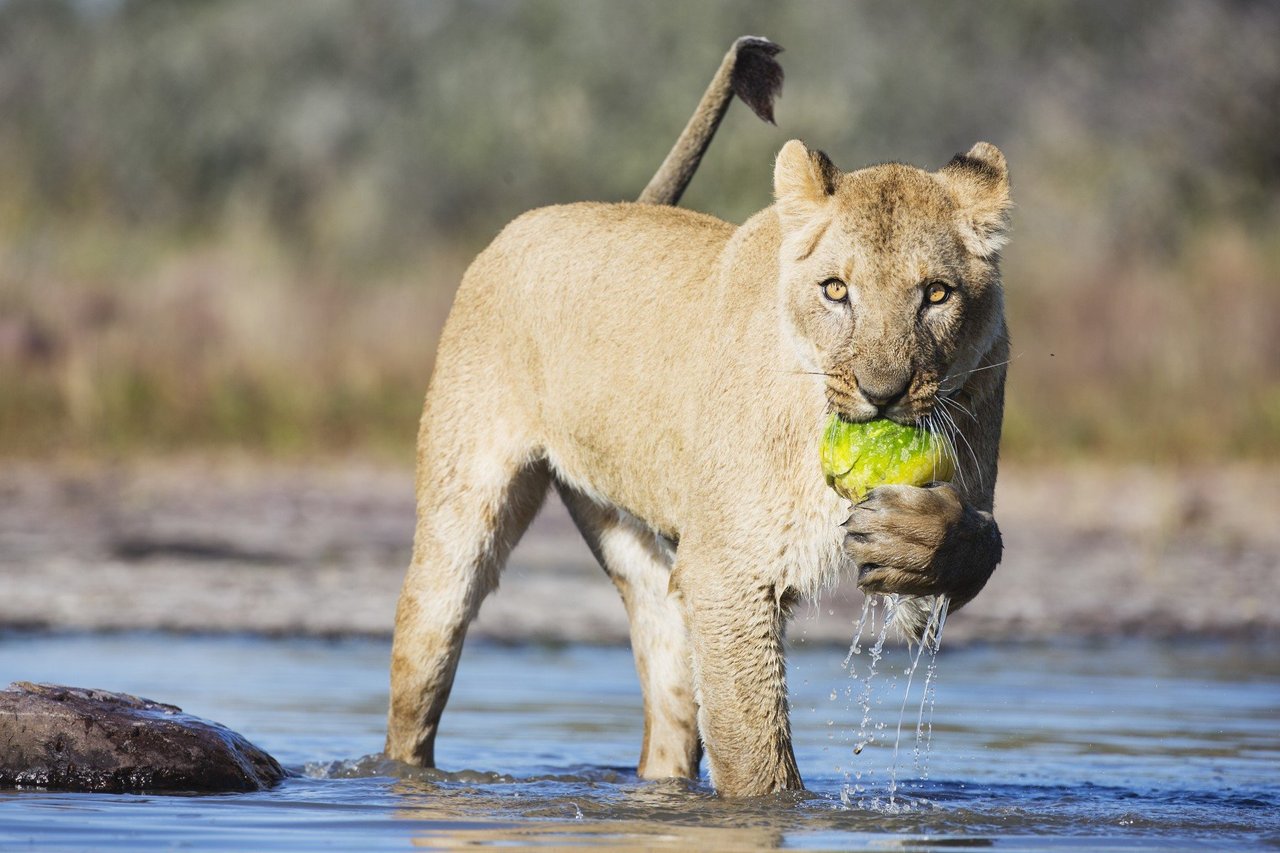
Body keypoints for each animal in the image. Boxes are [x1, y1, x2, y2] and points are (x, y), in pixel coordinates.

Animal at [384, 34, 1003, 799]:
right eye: (836, 290)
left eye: (937, 294)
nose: (882, 393)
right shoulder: (726, 571)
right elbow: (757, 755)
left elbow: (970, 548)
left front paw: (910, 535)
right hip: (459, 521)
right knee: (423, 667)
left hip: (630, 534)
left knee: (670, 693)